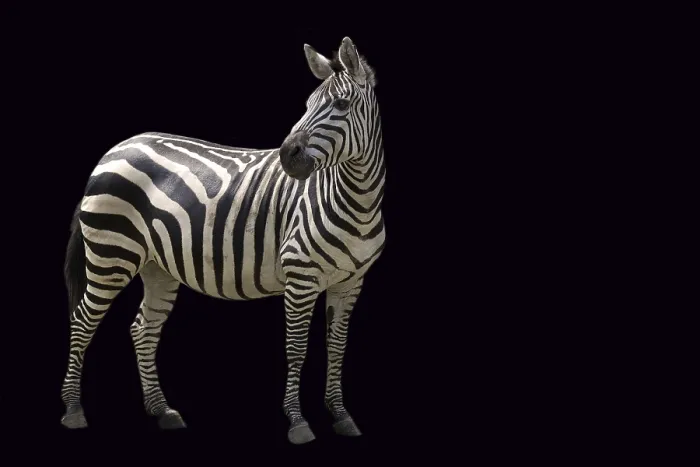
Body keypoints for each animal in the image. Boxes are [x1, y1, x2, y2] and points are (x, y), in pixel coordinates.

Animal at [60, 36, 385, 444]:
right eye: (308, 104)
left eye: (341, 104)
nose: (287, 157)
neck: (357, 200)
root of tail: (113, 150)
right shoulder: (301, 277)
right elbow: (296, 348)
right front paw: (298, 422)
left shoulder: (351, 282)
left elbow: (337, 348)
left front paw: (341, 416)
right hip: (111, 255)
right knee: (82, 321)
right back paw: (73, 410)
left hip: (156, 266)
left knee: (142, 329)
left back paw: (162, 410)